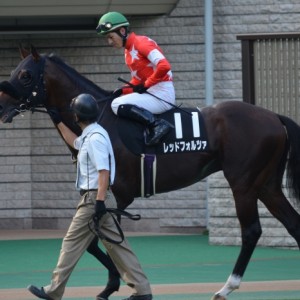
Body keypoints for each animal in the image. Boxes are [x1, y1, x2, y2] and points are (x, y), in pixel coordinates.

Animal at [0, 45, 300, 300]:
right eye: (15, 71)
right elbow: (96, 241)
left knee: (251, 231)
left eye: (25, 75)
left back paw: (226, 287)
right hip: (267, 185)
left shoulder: (118, 197)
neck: (100, 118)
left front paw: (115, 284)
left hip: (243, 185)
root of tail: (274, 116)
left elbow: (100, 240)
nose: (2, 104)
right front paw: (112, 285)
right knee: (293, 223)